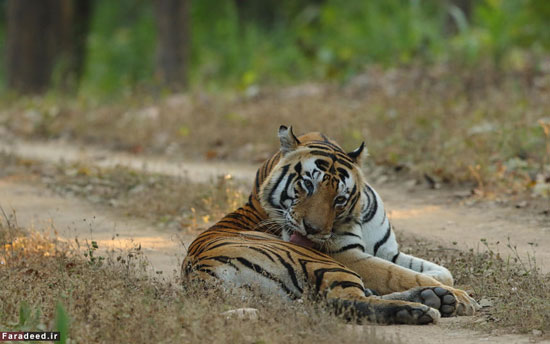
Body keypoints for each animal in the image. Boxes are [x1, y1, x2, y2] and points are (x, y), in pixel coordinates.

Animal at [183, 125, 480, 324]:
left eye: (339, 199)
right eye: (307, 184)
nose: (312, 230)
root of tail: (199, 275)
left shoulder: (387, 251)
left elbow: (436, 272)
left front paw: (447, 289)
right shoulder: (346, 255)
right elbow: (396, 274)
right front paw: (464, 298)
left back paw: (435, 298)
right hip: (319, 261)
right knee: (344, 301)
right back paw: (422, 309)